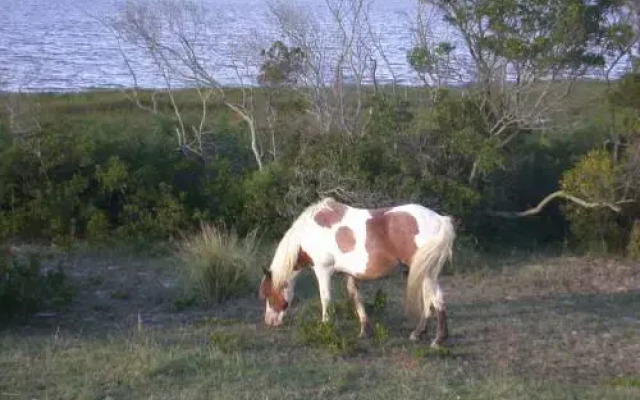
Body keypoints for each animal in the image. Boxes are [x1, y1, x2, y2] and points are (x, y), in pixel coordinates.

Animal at [256, 198, 456, 346]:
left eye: (268, 294)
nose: (269, 322)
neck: (309, 232)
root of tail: (440, 220)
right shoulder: (349, 275)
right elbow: (356, 298)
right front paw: (364, 331)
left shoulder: (322, 270)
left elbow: (325, 299)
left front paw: (325, 327)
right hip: (421, 272)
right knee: (429, 301)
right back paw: (418, 333)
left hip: (427, 272)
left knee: (437, 300)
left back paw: (438, 340)